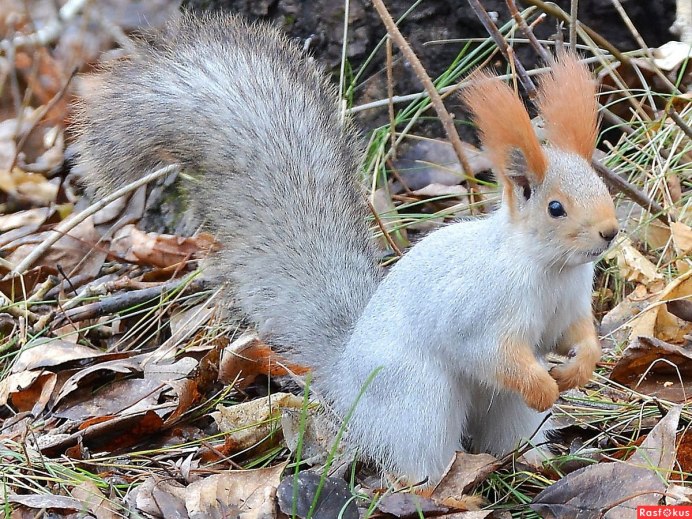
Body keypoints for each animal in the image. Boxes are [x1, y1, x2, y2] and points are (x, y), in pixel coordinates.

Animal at [73, 11, 620, 484]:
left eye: (602, 185)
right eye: (555, 208)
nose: (610, 231)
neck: (548, 268)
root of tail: (346, 378)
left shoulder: (570, 304)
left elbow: (577, 333)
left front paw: (581, 367)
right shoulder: (479, 309)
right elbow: (490, 351)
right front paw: (544, 383)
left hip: (500, 411)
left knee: (505, 435)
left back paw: (537, 465)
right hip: (418, 401)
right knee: (415, 463)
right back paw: (445, 489)